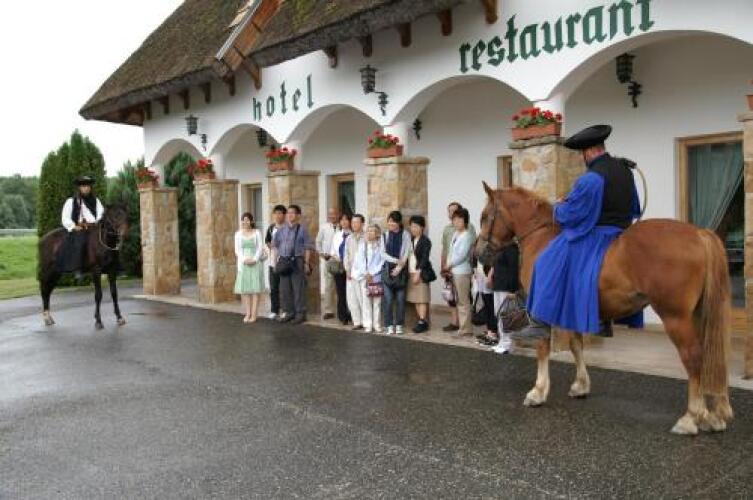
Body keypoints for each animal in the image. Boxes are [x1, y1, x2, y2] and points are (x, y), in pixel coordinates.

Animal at [475, 182, 733, 435]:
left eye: (485, 216)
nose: (478, 254)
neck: (542, 238)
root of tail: (699, 234)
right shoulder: (572, 309)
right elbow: (576, 345)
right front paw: (580, 385)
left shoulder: (541, 308)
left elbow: (542, 347)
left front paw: (538, 392)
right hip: (698, 314)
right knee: (709, 356)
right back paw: (713, 415)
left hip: (675, 317)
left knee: (693, 356)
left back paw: (691, 417)